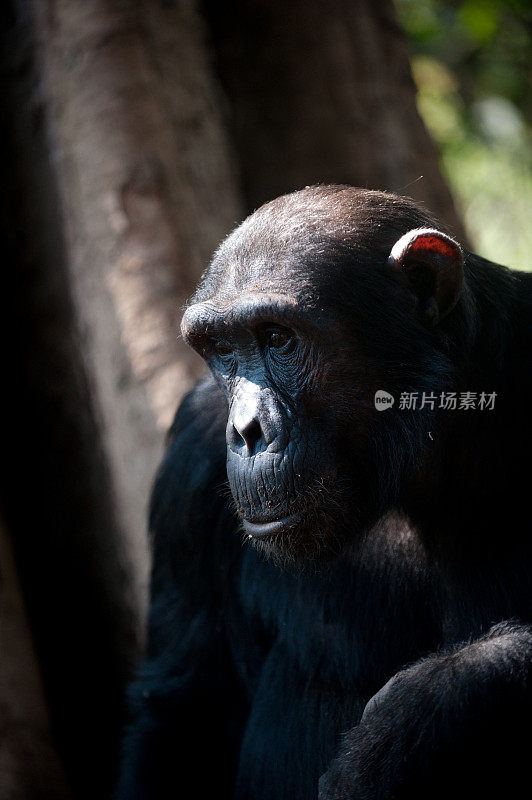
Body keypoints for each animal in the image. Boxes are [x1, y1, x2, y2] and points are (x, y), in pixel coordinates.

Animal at [116, 188, 532, 800]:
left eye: (277, 337)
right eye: (222, 349)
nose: (246, 430)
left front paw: (428, 707)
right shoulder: (190, 456)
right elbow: (183, 711)